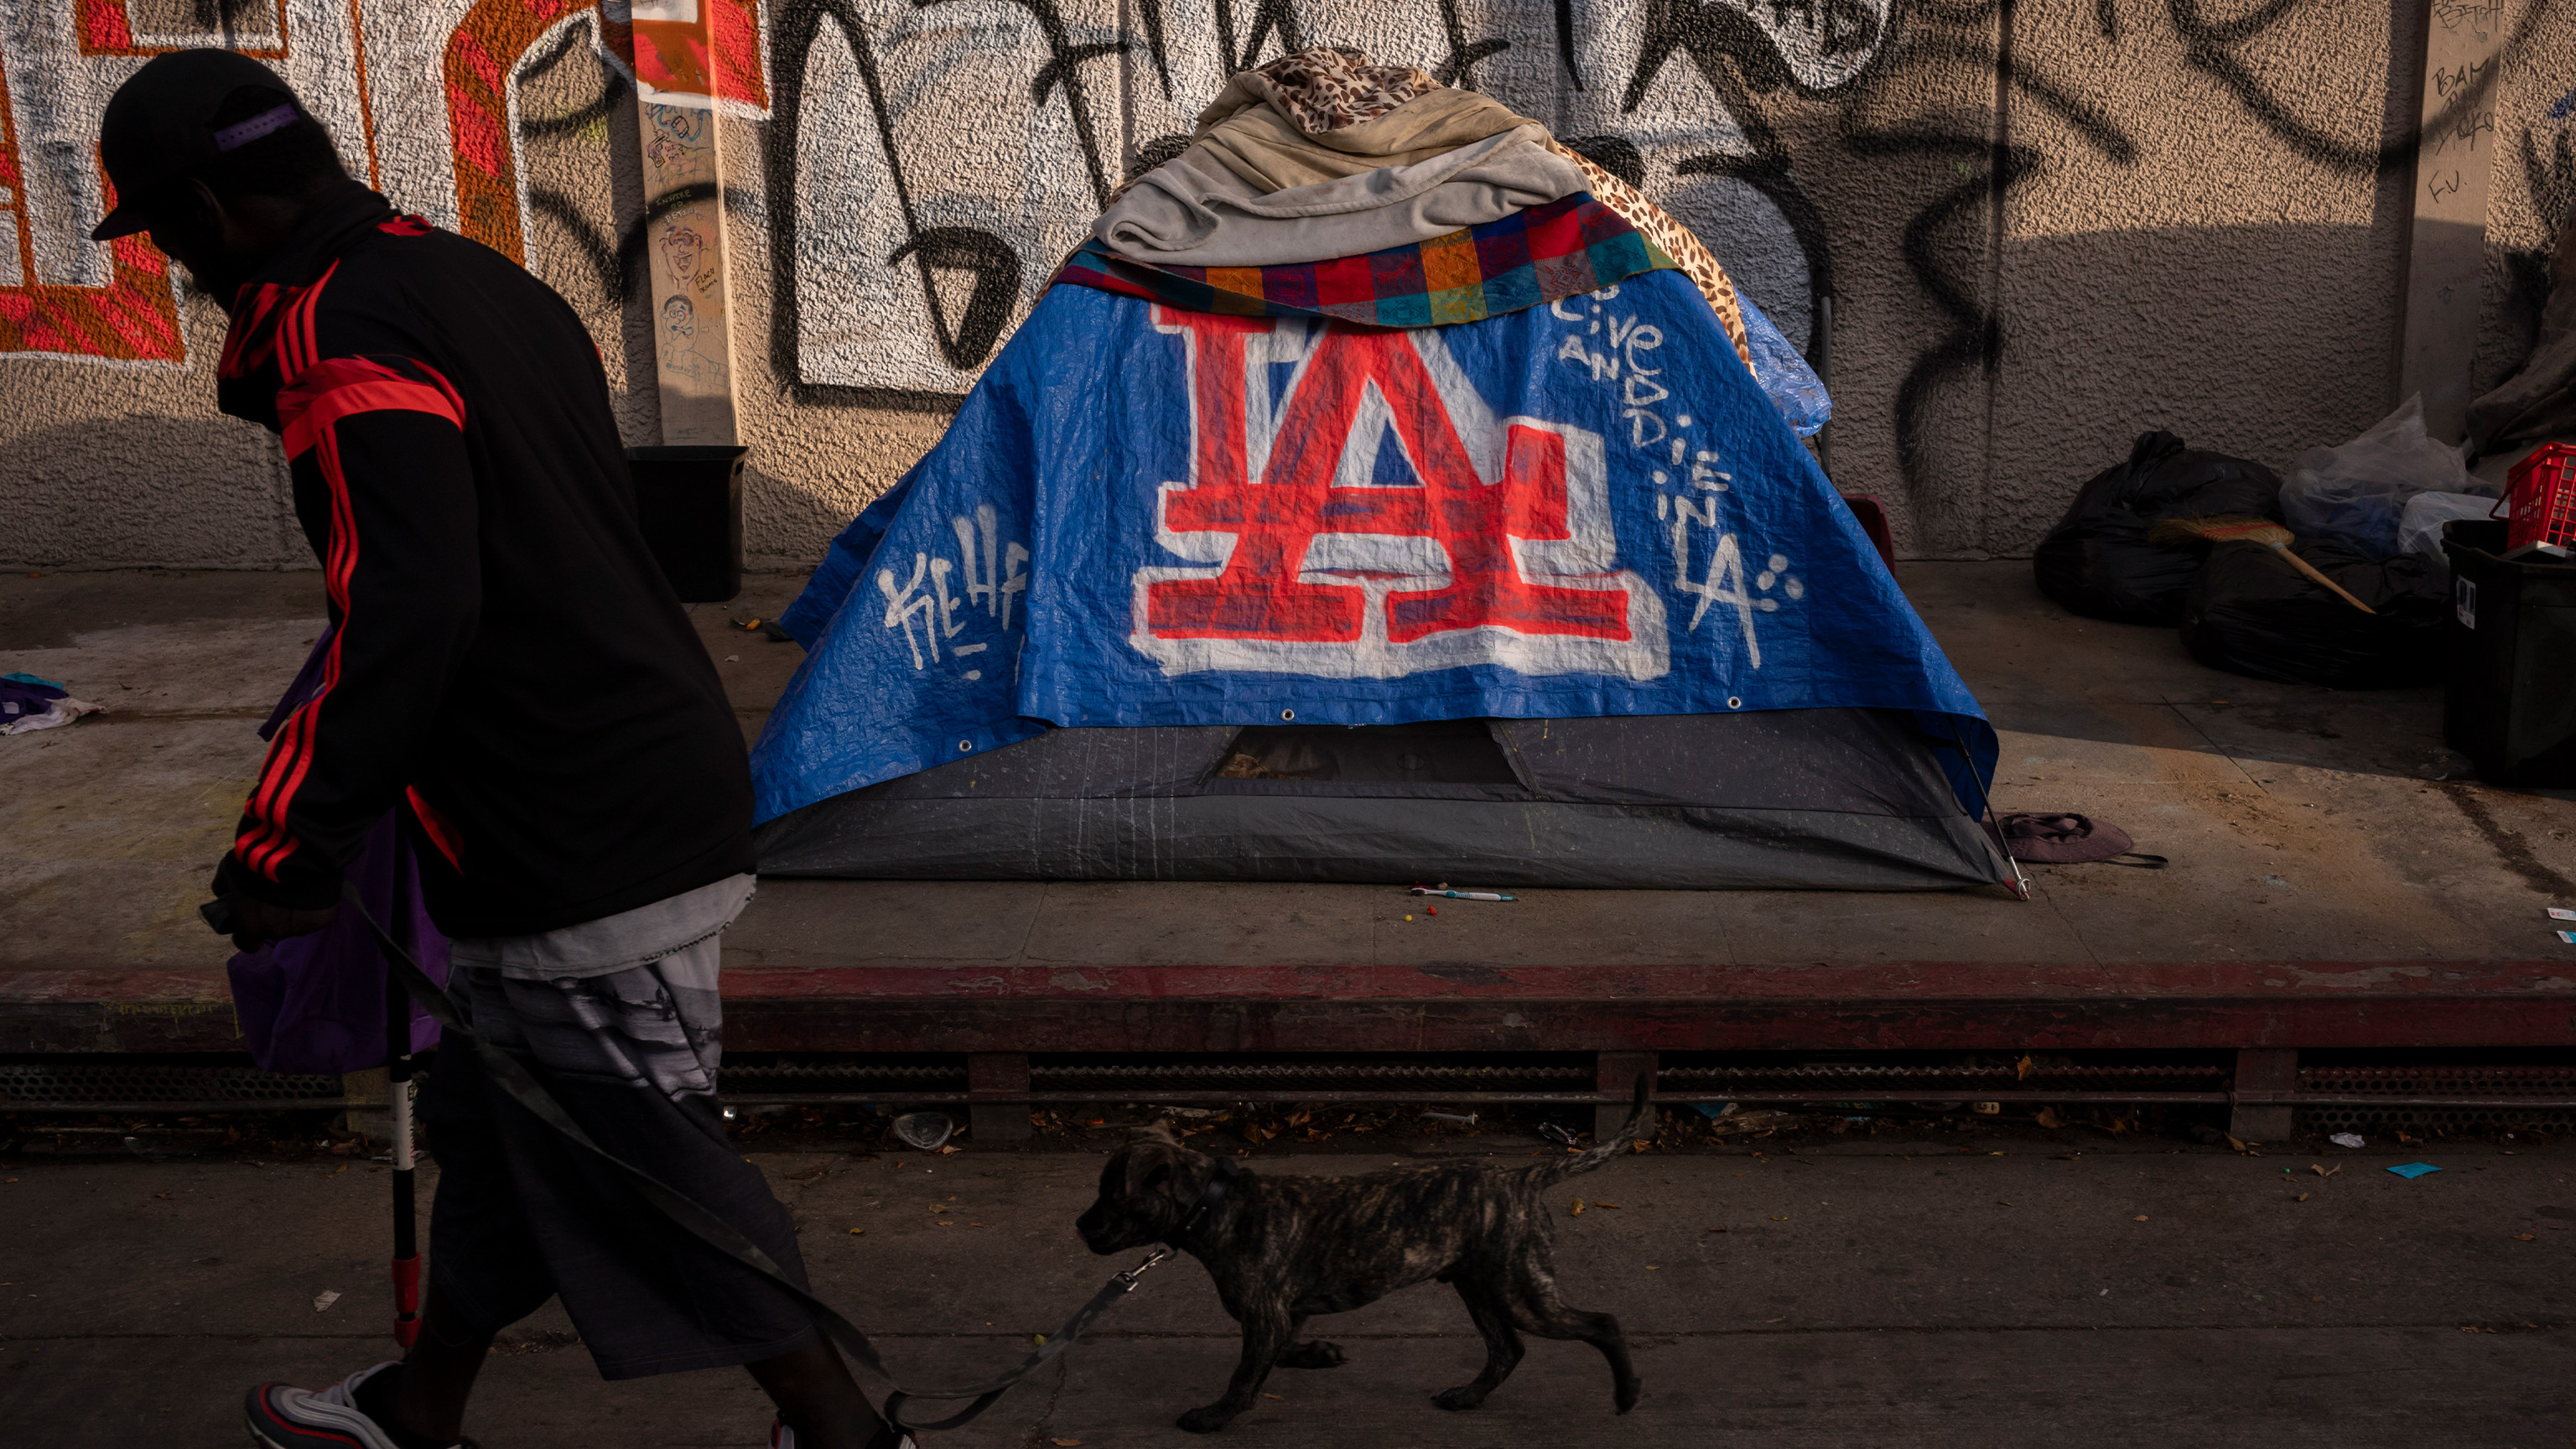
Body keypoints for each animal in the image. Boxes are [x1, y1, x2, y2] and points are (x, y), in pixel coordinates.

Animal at [1071, 1078, 1649, 1423]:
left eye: (1111, 1198)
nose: (1079, 1225)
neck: (1213, 1203)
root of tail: (1521, 1177)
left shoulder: (1264, 1317)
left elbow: (1244, 1374)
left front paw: (1217, 1415)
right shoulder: (1284, 1315)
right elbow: (1281, 1351)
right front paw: (1320, 1355)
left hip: (1519, 1291)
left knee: (1602, 1324)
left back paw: (1626, 1393)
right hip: (1481, 1287)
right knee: (1507, 1350)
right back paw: (1467, 1396)